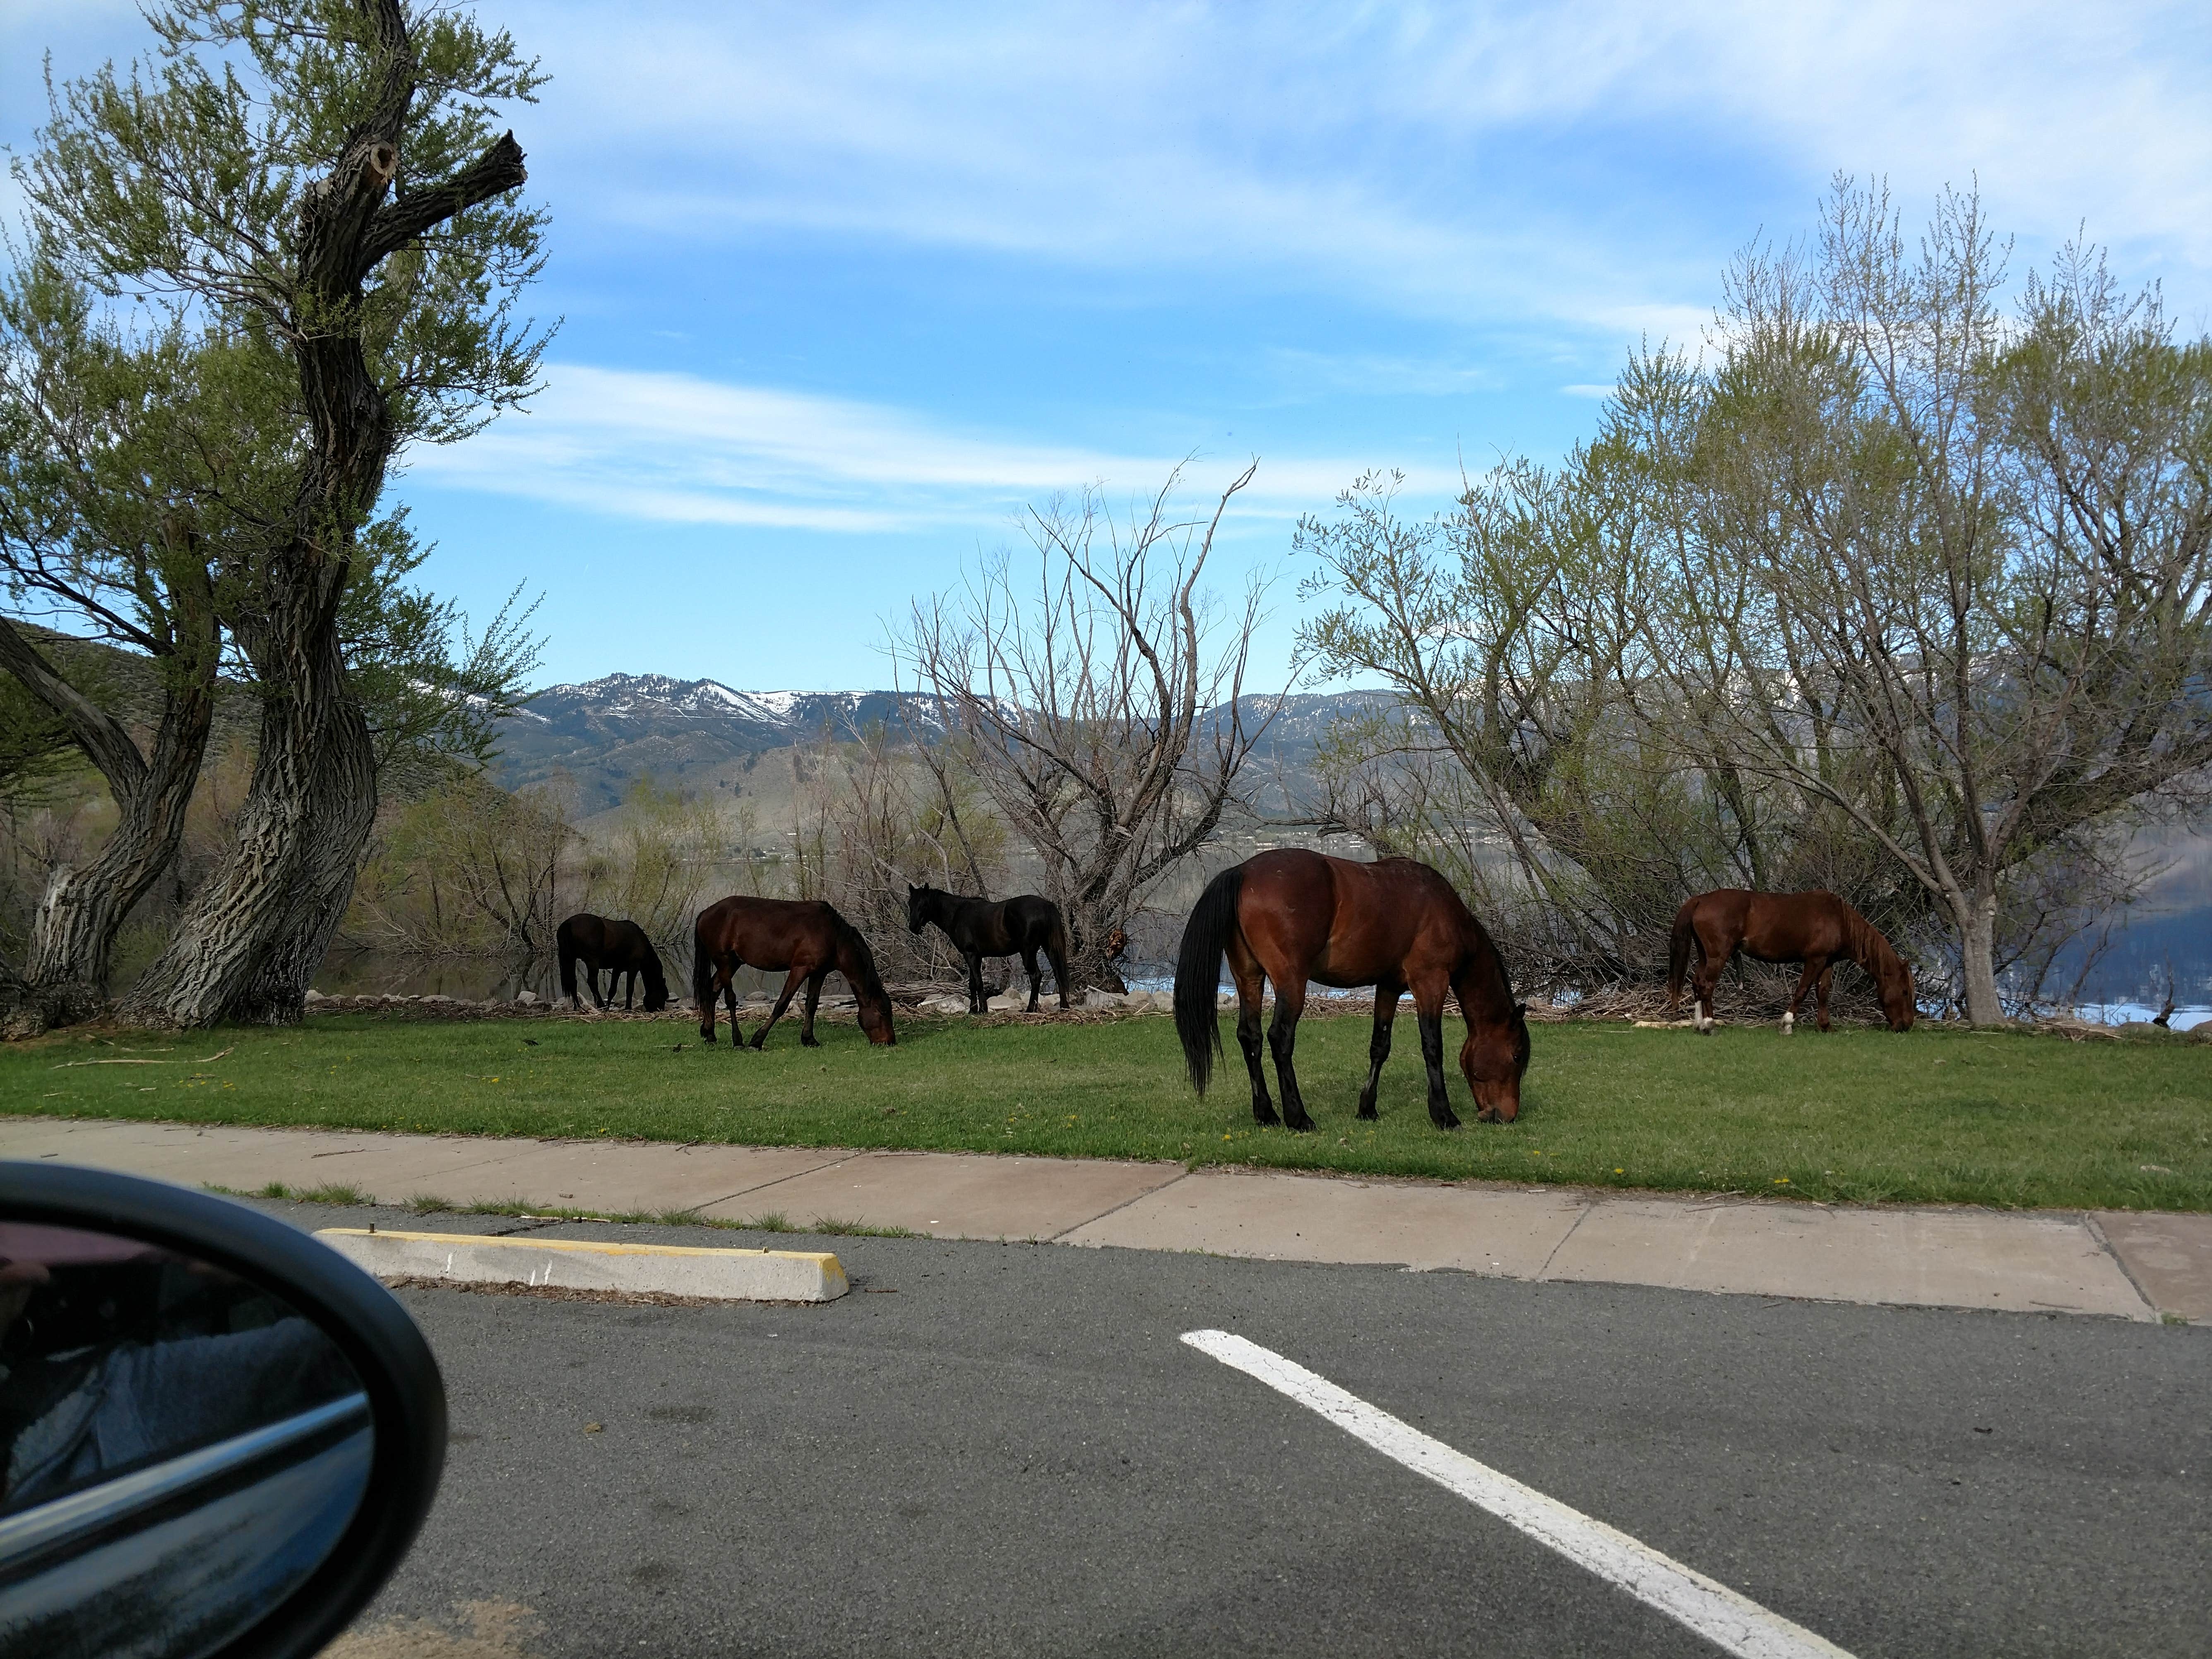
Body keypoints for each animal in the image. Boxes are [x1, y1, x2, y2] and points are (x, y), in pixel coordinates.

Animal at [553, 911, 664, 1013]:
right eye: (664, 995)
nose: (661, 1009)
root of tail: (569, 923)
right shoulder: (633, 968)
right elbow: (630, 989)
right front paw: (628, 1008)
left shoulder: (617, 969)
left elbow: (612, 990)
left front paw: (609, 1007)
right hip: (592, 961)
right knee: (592, 982)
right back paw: (600, 1005)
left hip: (571, 959)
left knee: (573, 982)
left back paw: (578, 1007)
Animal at [695, 898, 893, 1053]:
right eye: (883, 1012)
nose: (890, 1042)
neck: (833, 936)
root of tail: (706, 912)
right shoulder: (800, 969)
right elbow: (781, 1005)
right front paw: (757, 1041)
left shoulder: (818, 973)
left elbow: (812, 1005)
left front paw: (809, 1039)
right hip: (724, 961)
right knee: (729, 999)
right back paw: (737, 1041)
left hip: (734, 963)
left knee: (712, 990)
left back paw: (709, 1033)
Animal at [1177, 849, 1522, 1141]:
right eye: (1517, 1056)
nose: (1507, 1115)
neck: (1441, 908)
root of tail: (1243, 872)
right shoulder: (1430, 982)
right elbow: (1432, 1047)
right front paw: (1444, 1115)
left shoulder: (1389, 986)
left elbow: (1380, 1046)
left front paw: (1367, 1108)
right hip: (1291, 981)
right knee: (1280, 1038)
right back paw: (1298, 1117)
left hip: (1249, 977)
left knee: (1251, 1037)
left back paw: (1267, 1114)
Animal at [1663, 889, 1911, 1035]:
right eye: (1906, 992)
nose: (1906, 1026)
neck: (1838, 919)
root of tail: (1699, 900)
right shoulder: (1815, 960)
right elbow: (1802, 991)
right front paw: (1787, 1023)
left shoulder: (1827, 962)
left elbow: (1823, 993)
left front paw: (1826, 1026)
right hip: (1718, 956)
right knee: (1706, 986)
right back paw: (1709, 1025)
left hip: (1705, 954)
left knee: (1697, 982)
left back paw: (1698, 1023)